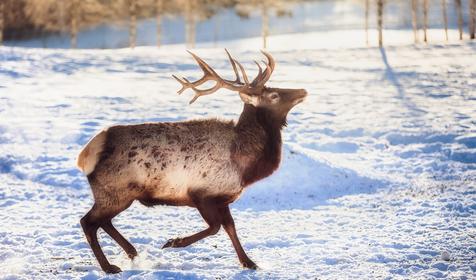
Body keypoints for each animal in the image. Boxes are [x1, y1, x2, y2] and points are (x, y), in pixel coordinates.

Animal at [76, 49, 306, 272]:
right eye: (274, 95)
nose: (303, 91)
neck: (247, 167)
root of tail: (85, 154)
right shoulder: (202, 195)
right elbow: (215, 228)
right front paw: (173, 242)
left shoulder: (223, 198)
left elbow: (230, 227)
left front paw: (249, 262)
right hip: (115, 192)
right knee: (88, 221)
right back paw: (109, 266)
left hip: (117, 195)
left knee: (103, 222)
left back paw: (132, 253)